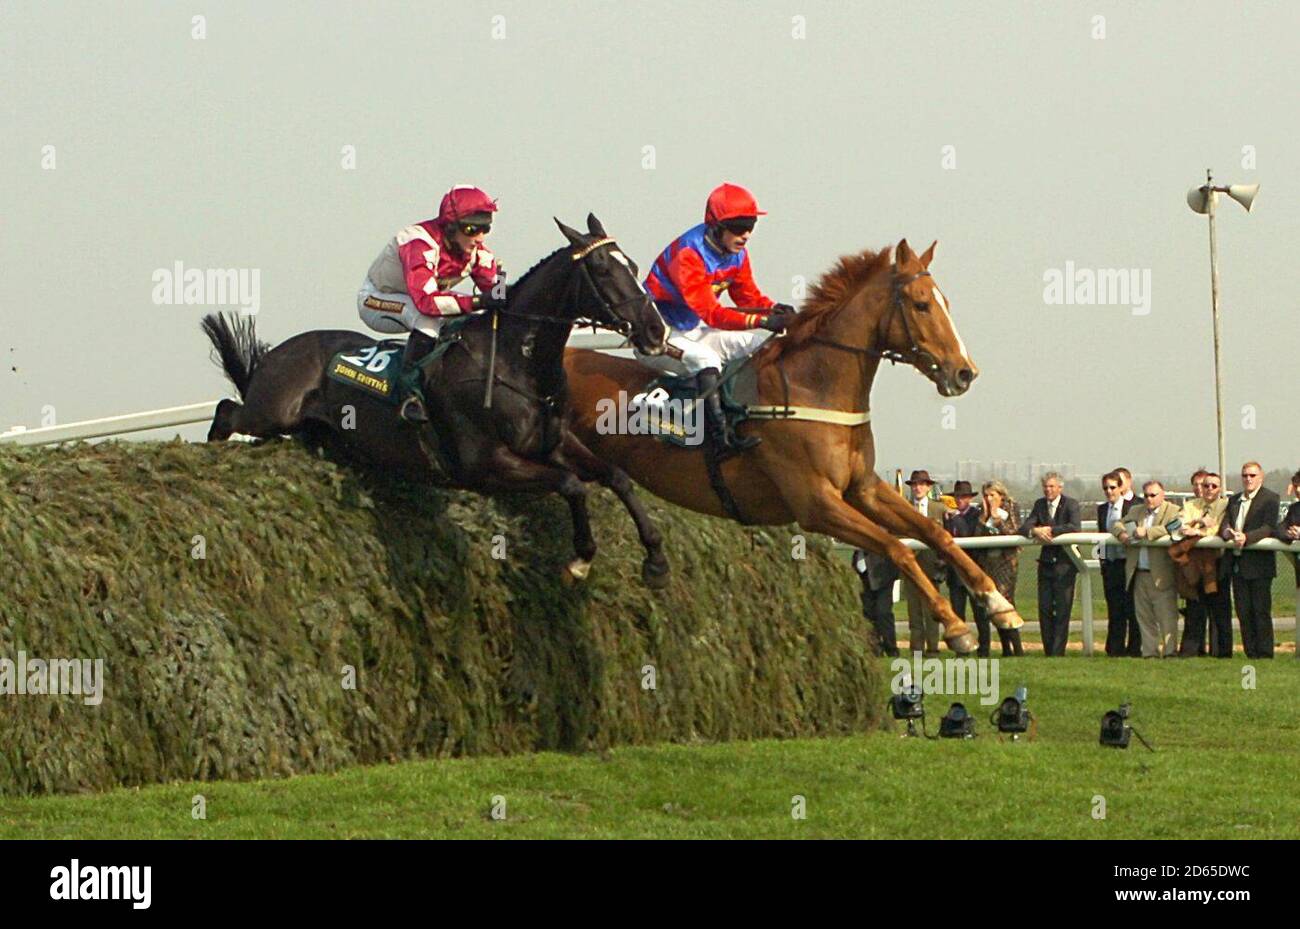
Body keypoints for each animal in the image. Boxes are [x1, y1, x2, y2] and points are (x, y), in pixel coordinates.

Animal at [202, 214, 676, 584]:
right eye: (600, 267)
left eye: (632, 264)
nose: (657, 331)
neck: (515, 362)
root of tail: (279, 352)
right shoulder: (484, 465)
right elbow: (571, 484)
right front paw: (581, 557)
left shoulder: (553, 442)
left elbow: (616, 475)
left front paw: (655, 560)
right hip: (270, 411)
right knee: (227, 413)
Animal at [566, 237, 1024, 654]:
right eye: (921, 304)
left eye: (945, 301)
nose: (964, 372)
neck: (813, 387)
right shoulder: (816, 505)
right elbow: (897, 547)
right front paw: (957, 627)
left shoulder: (863, 488)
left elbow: (935, 532)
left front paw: (998, 603)